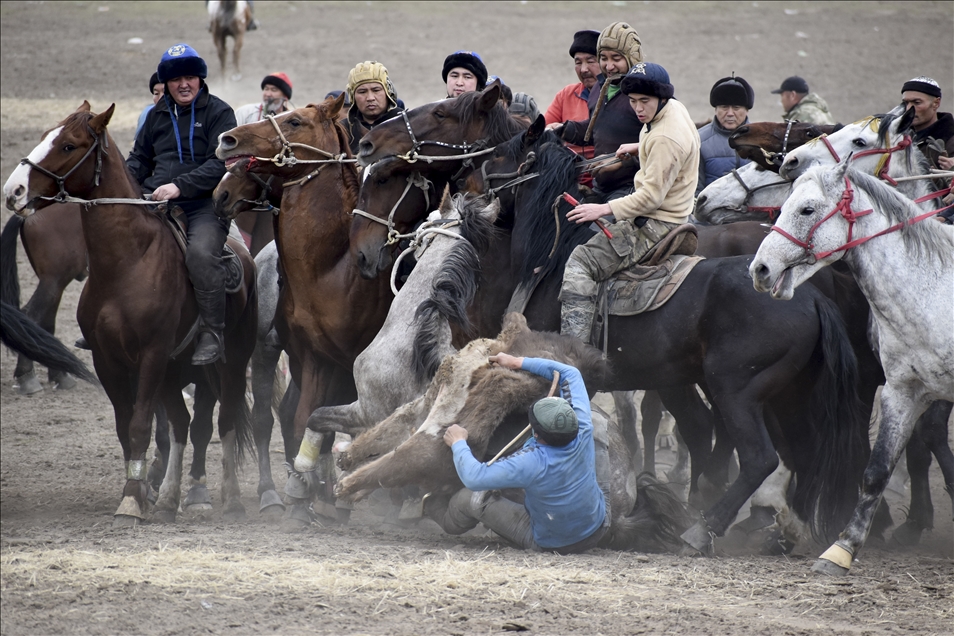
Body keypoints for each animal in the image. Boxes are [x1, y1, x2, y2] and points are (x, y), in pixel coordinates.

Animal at [1, 102, 256, 524]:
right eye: (44, 136)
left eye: (69, 145)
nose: (14, 190)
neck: (127, 262)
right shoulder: (109, 360)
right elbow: (126, 427)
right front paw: (138, 490)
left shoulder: (151, 355)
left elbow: (140, 425)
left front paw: (134, 499)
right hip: (175, 370)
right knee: (184, 424)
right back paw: (169, 499)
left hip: (230, 360)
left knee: (225, 419)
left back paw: (232, 498)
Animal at [752, 164, 952, 576]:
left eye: (807, 209)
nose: (760, 269)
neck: (933, 292)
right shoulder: (902, 392)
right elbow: (876, 471)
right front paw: (841, 549)